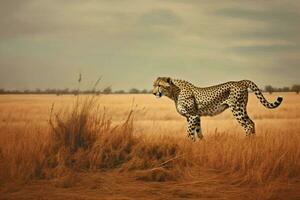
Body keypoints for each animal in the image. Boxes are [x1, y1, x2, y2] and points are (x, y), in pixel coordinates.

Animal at [154, 77, 282, 141]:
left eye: (159, 85)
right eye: (154, 85)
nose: (154, 93)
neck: (174, 91)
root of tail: (240, 81)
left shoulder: (192, 116)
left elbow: (189, 133)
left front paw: (189, 144)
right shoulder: (195, 117)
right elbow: (199, 132)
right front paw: (201, 144)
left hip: (237, 109)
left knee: (248, 125)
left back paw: (245, 142)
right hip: (242, 109)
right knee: (252, 123)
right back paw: (253, 142)